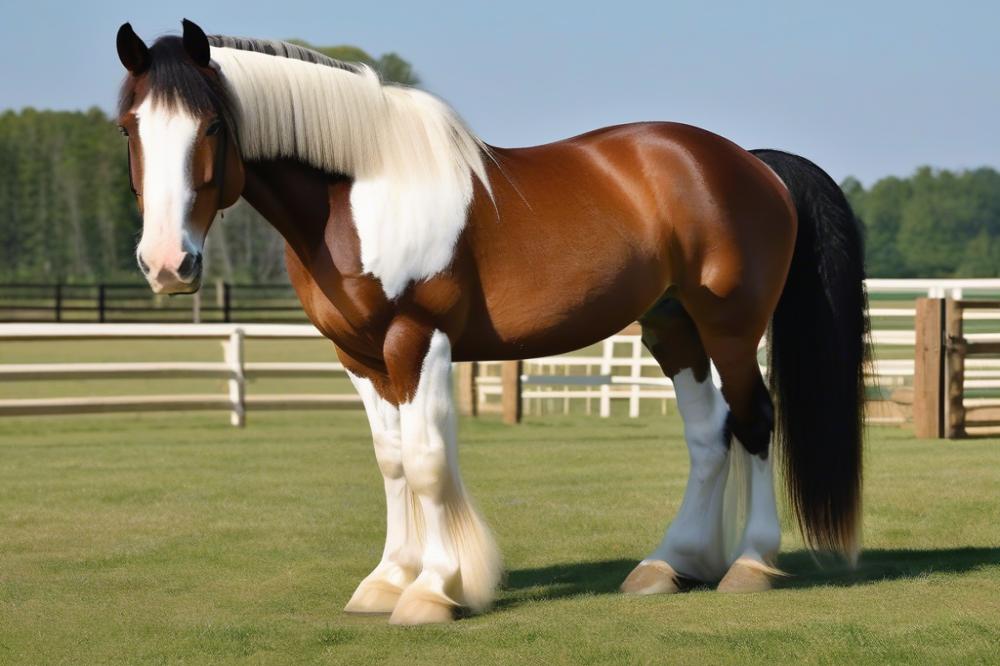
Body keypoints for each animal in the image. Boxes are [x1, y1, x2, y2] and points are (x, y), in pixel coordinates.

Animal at [115, 20, 868, 624]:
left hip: (731, 327)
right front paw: (388, 581)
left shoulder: (415, 340)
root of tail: (750, 163)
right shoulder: (359, 357)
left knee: (755, 422)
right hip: (671, 328)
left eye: (213, 126)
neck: (357, 194)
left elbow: (425, 461)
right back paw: (669, 565)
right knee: (708, 436)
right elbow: (392, 462)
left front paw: (434, 591)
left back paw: (749, 565)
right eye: (129, 127)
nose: (167, 262)